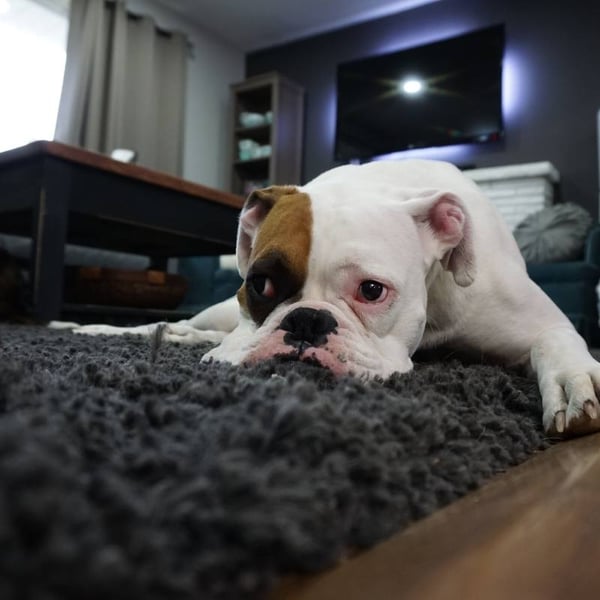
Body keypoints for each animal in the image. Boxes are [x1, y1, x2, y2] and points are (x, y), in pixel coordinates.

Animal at [68, 159, 600, 438]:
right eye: (260, 284)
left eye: (371, 291)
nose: (306, 321)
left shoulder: (542, 322)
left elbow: (558, 343)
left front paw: (575, 383)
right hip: (215, 313)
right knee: (189, 327)